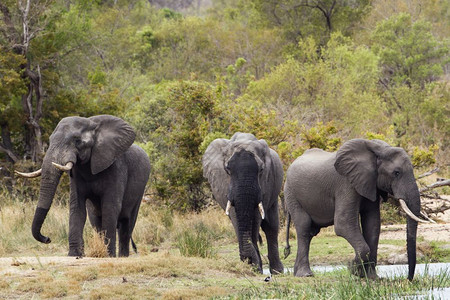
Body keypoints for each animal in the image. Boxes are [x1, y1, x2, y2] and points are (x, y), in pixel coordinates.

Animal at [202, 132, 284, 274]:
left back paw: (277, 271)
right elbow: (235, 217)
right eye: (227, 169)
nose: (247, 260)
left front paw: (255, 267)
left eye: (261, 169)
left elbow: (256, 218)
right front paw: (253, 266)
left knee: (271, 227)